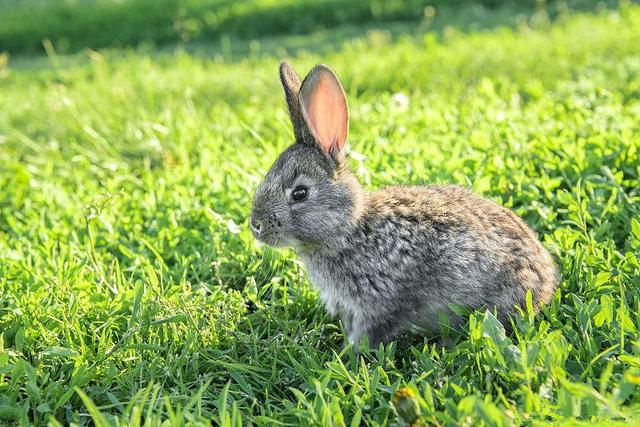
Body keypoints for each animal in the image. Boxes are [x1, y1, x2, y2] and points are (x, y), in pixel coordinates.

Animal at [250, 61, 560, 348]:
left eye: (300, 193)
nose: (256, 225)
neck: (350, 230)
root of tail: (546, 278)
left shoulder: (381, 303)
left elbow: (369, 334)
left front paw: (349, 355)